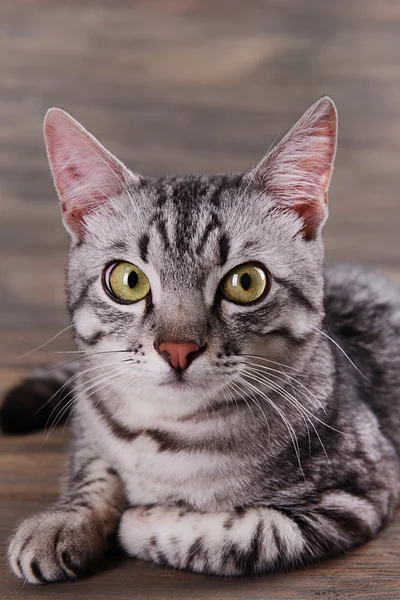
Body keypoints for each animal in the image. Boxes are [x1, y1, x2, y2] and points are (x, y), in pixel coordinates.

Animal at [3, 97, 400, 580]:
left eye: (246, 282)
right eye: (128, 280)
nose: (178, 349)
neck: (164, 435)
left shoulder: (355, 494)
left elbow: (242, 534)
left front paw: (141, 518)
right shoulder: (88, 420)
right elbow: (93, 472)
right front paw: (60, 523)